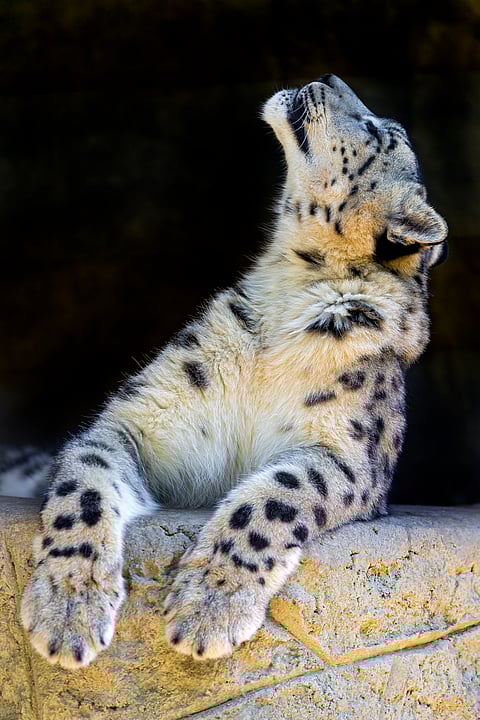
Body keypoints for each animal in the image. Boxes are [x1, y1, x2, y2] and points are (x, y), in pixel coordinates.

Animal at [1, 74, 448, 669]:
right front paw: (68, 607)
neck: (290, 287)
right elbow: (85, 485)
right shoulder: (141, 419)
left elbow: (277, 495)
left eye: (379, 132)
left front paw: (206, 610)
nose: (329, 78)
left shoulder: (351, 456)